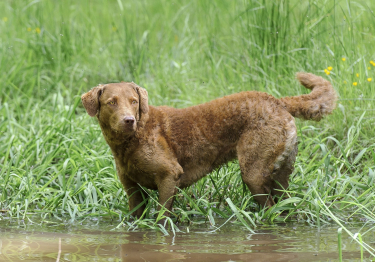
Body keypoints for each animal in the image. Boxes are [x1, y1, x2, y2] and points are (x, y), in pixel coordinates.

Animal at [82, 72, 338, 218]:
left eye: (134, 101)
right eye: (112, 102)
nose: (129, 120)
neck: (130, 142)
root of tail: (277, 101)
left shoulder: (169, 175)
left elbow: (163, 216)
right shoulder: (132, 188)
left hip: (254, 172)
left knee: (269, 206)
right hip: (281, 173)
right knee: (285, 204)